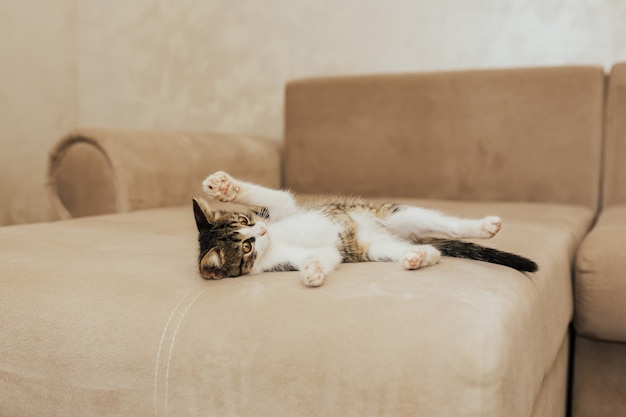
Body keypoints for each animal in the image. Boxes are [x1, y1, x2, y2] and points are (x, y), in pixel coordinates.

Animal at [191, 170, 536, 286]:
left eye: (245, 222)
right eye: (245, 246)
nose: (261, 233)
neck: (274, 241)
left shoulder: (279, 210)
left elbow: (274, 196)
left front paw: (222, 187)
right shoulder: (282, 262)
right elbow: (322, 257)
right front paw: (312, 272)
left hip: (395, 214)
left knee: (449, 227)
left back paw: (484, 226)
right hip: (373, 247)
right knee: (428, 249)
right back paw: (418, 256)